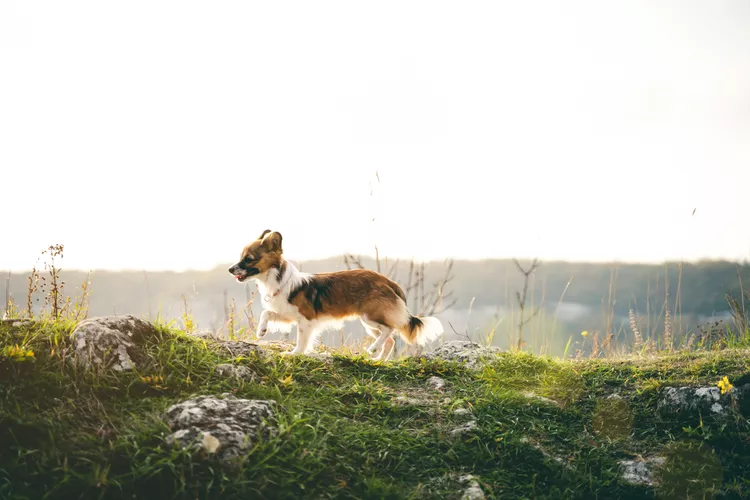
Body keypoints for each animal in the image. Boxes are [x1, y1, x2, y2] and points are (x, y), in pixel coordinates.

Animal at [226, 230, 444, 360]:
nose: (229, 269)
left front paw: (295, 353)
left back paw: (373, 349)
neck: (277, 280)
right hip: (370, 324)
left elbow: (301, 340)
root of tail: (388, 281)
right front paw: (261, 331)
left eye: (248, 259)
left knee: (389, 330)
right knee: (388, 339)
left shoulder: (305, 320)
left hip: (370, 317)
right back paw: (378, 359)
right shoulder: (287, 314)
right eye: (241, 257)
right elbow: (267, 313)